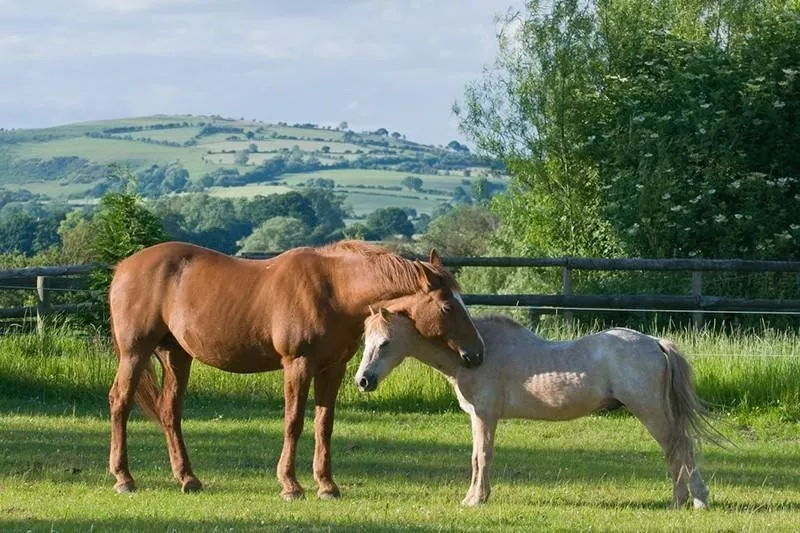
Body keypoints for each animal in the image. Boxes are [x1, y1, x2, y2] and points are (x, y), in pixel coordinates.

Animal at [105, 241, 482, 498]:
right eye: (448, 307)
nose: (476, 354)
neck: (334, 290)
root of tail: (123, 267)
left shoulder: (332, 369)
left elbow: (323, 425)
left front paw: (327, 485)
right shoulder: (297, 365)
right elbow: (294, 422)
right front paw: (290, 484)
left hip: (176, 356)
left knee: (170, 412)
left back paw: (188, 479)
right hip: (135, 353)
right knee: (120, 402)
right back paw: (124, 478)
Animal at [356, 310, 720, 510]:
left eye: (384, 343)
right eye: (365, 341)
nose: (363, 380)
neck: (474, 354)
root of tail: (655, 342)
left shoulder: (485, 417)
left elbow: (483, 457)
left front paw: (476, 500)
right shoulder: (478, 418)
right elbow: (476, 458)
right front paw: (473, 497)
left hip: (651, 412)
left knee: (680, 448)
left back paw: (695, 501)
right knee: (675, 452)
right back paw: (679, 501)